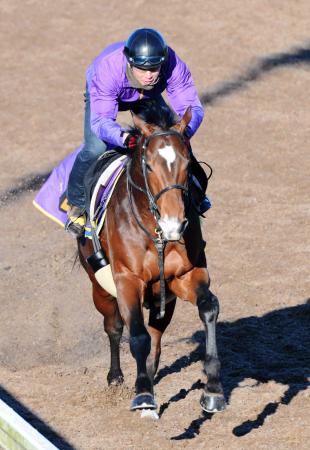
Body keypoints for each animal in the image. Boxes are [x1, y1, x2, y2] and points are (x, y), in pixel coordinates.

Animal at [76, 102, 226, 414]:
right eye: (148, 165)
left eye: (187, 164)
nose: (174, 224)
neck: (155, 232)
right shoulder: (126, 280)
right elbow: (136, 333)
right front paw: (143, 392)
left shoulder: (183, 276)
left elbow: (208, 308)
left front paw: (213, 390)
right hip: (99, 286)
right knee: (114, 326)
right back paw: (117, 377)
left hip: (163, 297)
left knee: (156, 334)